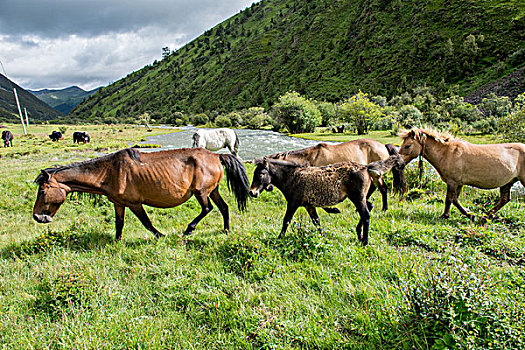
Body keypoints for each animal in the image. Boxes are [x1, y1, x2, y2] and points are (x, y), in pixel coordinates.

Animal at [32, 146, 250, 239]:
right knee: (223, 207)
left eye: (42, 191)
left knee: (207, 208)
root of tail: (216, 156)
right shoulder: (118, 203)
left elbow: (146, 223)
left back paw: (189, 229)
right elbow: (119, 223)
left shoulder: (134, 203)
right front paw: (117, 242)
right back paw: (226, 230)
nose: (37, 217)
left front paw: (160, 236)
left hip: (202, 192)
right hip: (213, 190)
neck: (110, 171)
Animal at [266, 139, 406, 211]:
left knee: (383, 188)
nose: (268, 188)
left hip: (376, 174)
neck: (311, 157)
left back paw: (384, 208)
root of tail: (383, 145)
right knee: (372, 188)